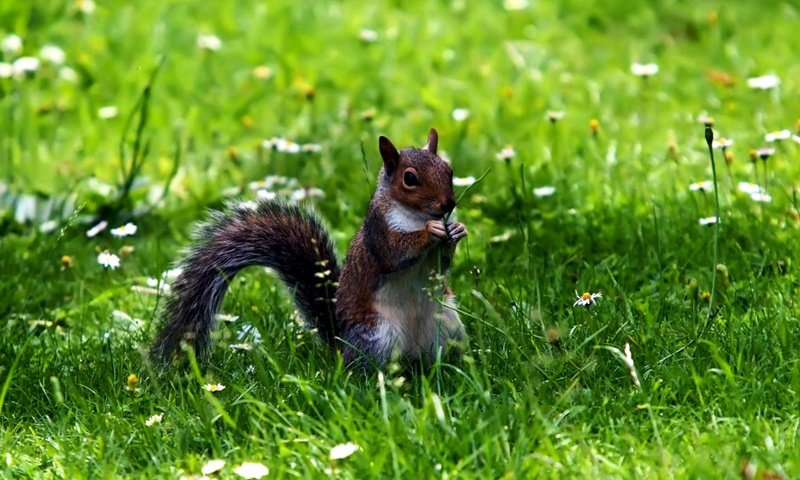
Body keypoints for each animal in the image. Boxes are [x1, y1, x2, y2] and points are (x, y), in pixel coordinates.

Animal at [150, 126, 466, 368]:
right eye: (409, 178)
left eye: (449, 170)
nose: (448, 204)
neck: (416, 215)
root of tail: (341, 342)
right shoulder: (379, 233)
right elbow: (396, 252)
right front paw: (430, 232)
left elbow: (442, 263)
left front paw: (457, 230)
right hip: (377, 335)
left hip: (449, 324)